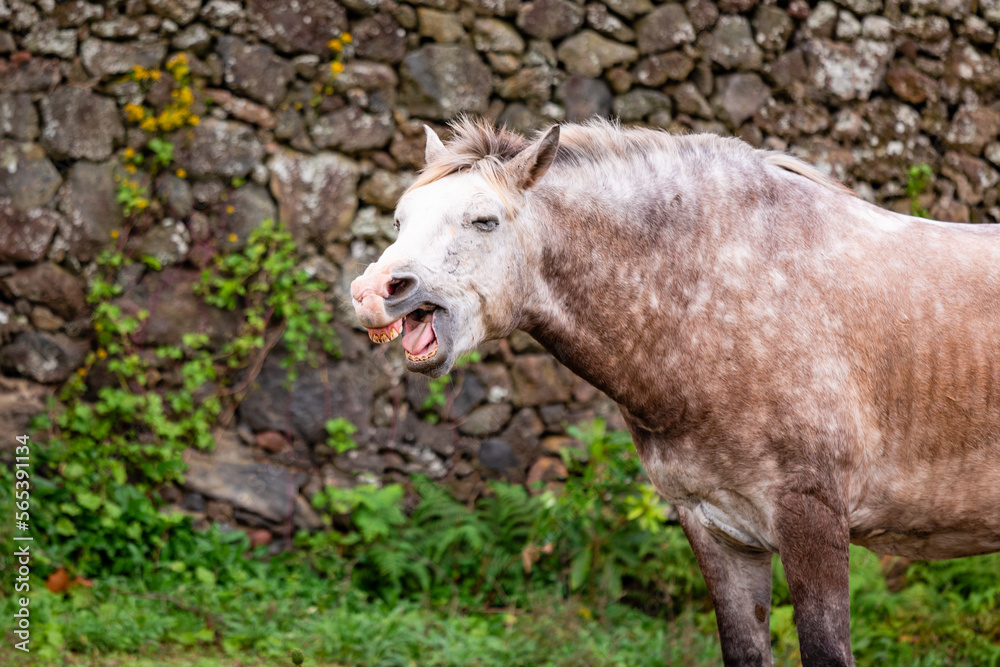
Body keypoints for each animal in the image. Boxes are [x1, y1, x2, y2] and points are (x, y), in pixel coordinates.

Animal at [350, 118, 1000, 666]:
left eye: (485, 220)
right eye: (400, 220)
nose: (374, 290)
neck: (719, 299)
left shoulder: (813, 523)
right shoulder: (717, 530)